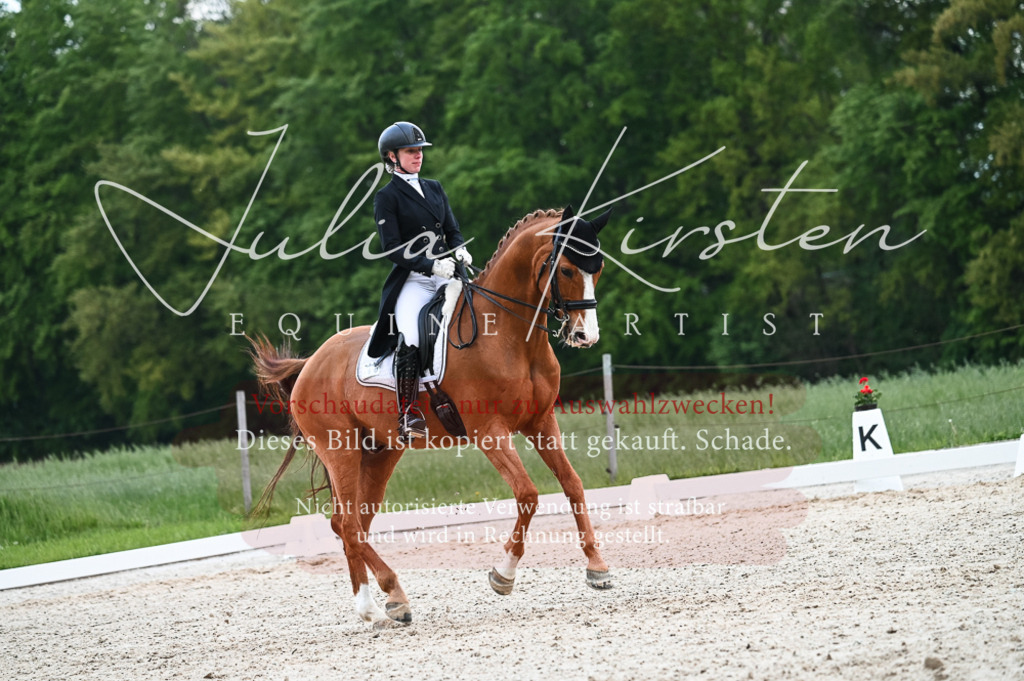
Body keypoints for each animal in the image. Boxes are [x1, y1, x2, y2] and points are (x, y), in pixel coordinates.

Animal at [250, 205, 613, 629]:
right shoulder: (489, 431)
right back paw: (393, 596)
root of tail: (310, 363)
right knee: (349, 526)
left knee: (353, 524)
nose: (586, 336)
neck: (510, 336)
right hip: (340, 450)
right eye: (568, 270)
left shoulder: (539, 422)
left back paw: (374, 608)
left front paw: (597, 568)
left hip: (380, 454)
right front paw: (503, 575)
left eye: (598, 269)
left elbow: (572, 484)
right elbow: (528, 493)